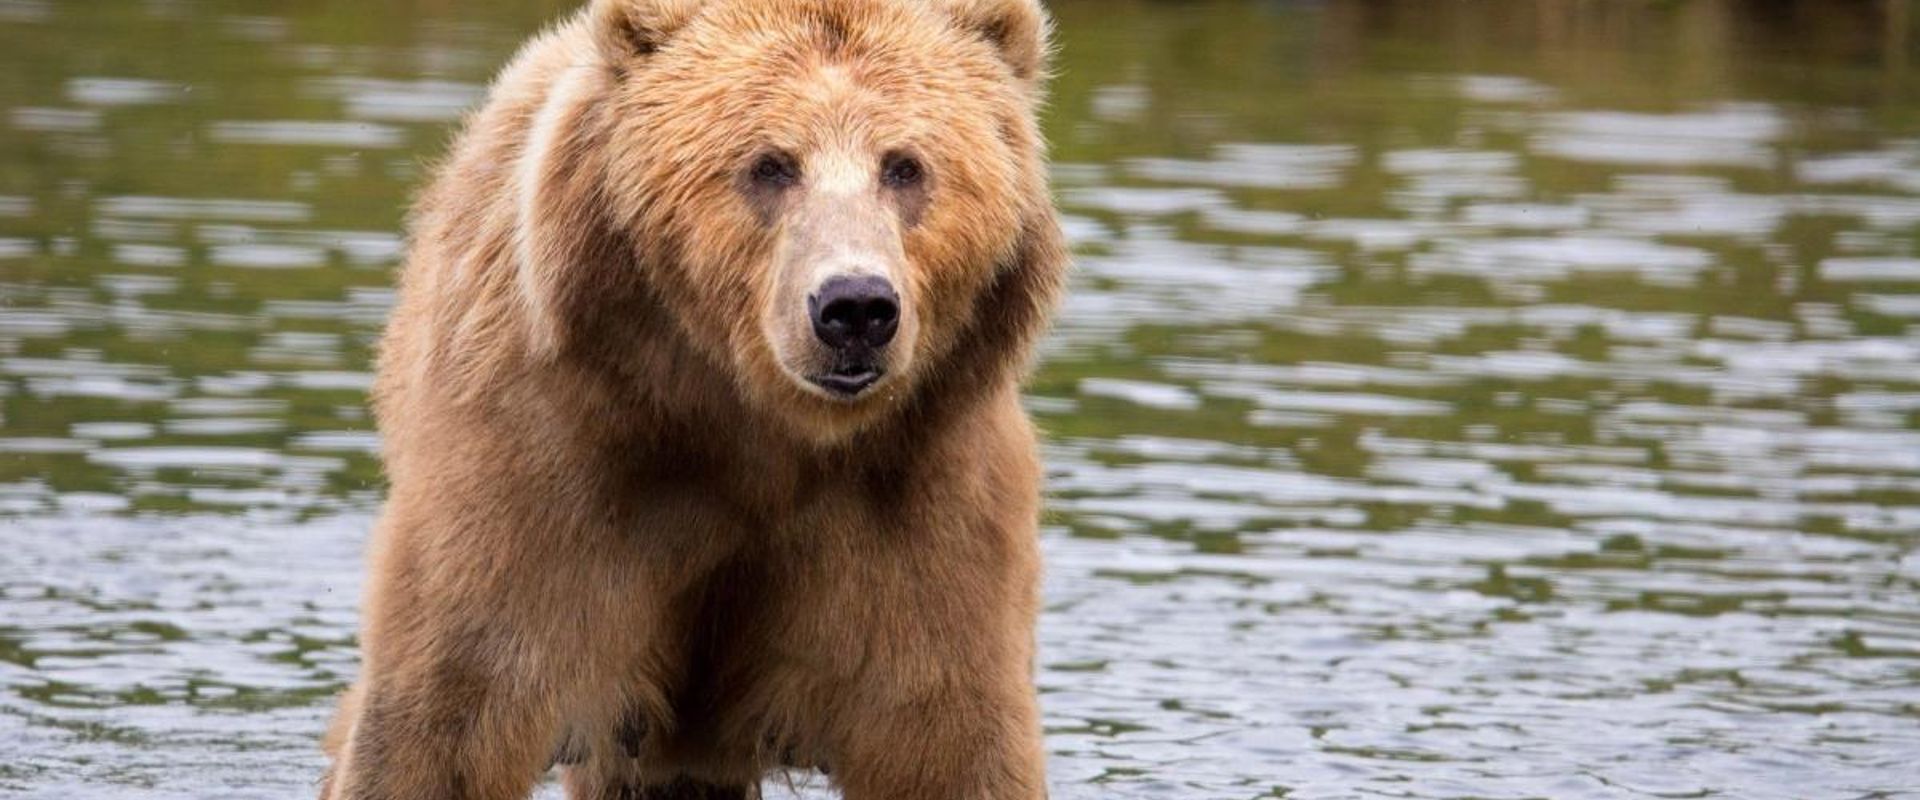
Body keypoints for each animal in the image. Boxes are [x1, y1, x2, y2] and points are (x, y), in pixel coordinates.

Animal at [316, 0, 1067, 798]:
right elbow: (446, 711)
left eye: (904, 165)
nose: (856, 306)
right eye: (770, 164)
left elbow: (949, 734)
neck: (754, 430)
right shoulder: (549, 465)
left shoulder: (920, 498)